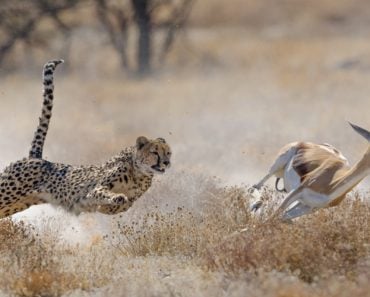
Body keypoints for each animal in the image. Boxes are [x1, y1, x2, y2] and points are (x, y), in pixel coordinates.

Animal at [0, 59, 172, 217]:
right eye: (154, 152)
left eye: (168, 153)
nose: (166, 162)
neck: (139, 173)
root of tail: (35, 158)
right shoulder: (95, 189)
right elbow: (105, 194)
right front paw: (116, 198)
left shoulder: (128, 201)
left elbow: (122, 206)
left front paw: (110, 204)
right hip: (7, 193)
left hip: (16, 204)